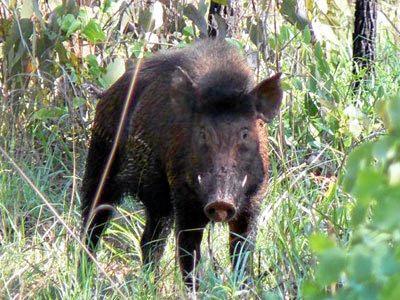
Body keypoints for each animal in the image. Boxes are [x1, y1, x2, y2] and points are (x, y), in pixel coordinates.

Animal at [80, 38, 282, 288]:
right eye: (203, 133)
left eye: (245, 133)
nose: (221, 202)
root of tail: (106, 93)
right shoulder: (184, 200)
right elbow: (189, 255)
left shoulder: (253, 202)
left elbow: (242, 254)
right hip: (99, 164)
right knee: (91, 225)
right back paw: (84, 276)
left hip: (159, 204)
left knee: (149, 241)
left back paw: (150, 287)